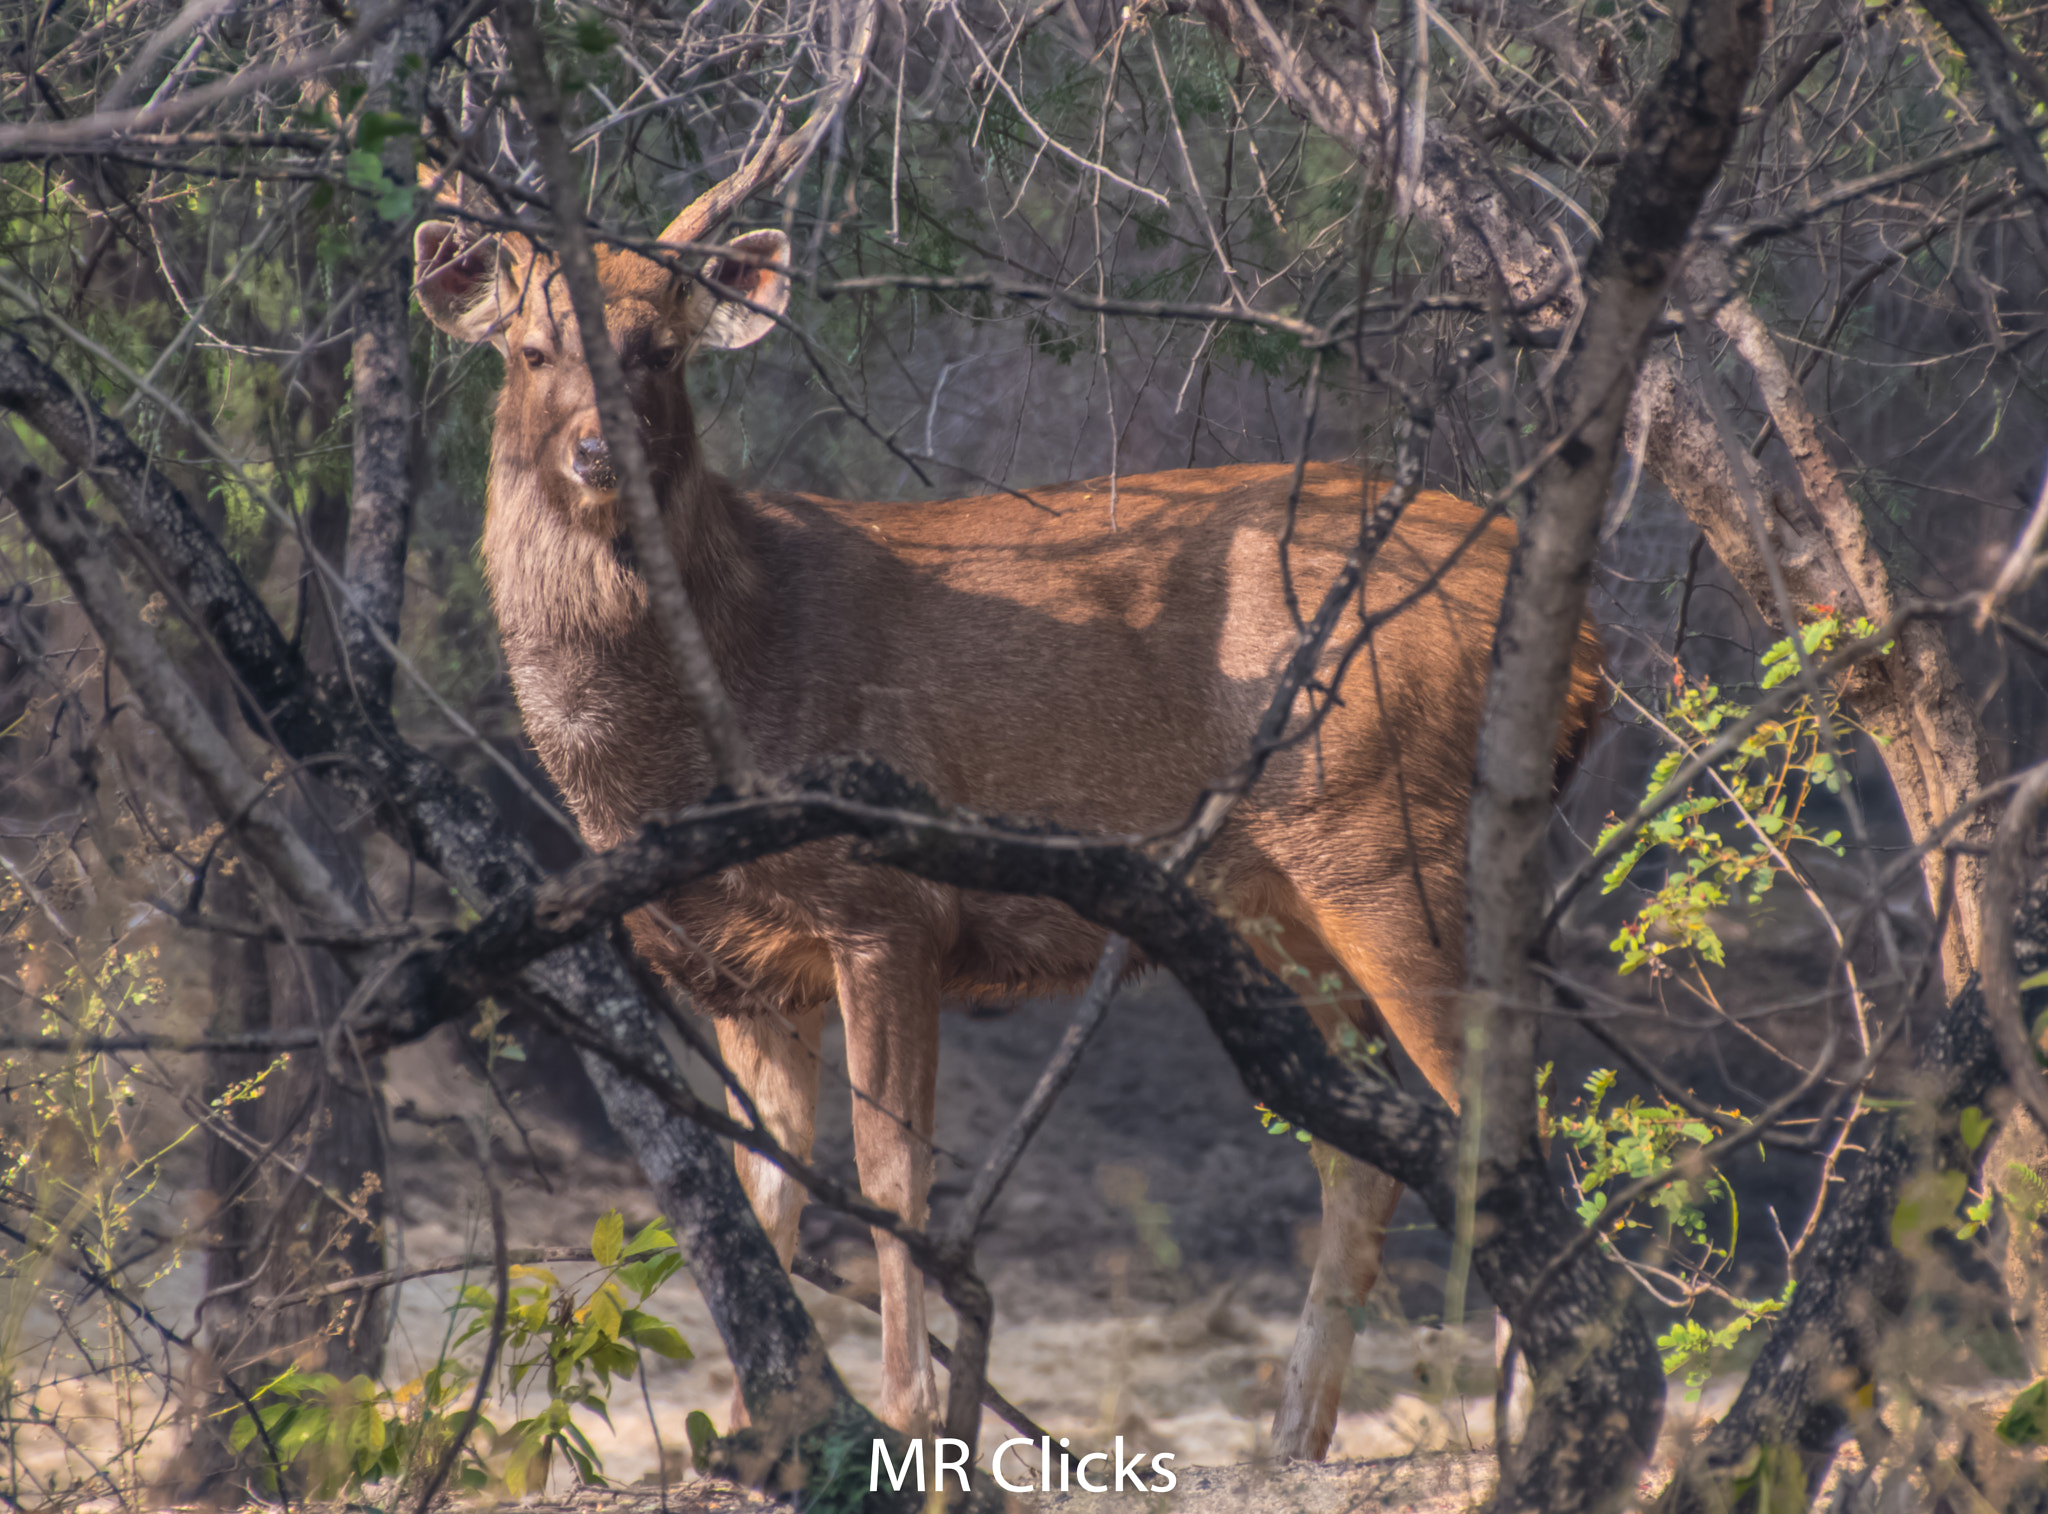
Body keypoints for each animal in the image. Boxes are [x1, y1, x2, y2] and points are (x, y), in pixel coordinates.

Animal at [410, 152, 1600, 1463]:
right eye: (529, 349)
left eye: (658, 349)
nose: (593, 453)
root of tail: (1589, 646)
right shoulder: (738, 970)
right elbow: (760, 1196)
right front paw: (763, 1435)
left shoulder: (888, 904)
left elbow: (890, 1178)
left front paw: (908, 1418)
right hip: (1283, 898)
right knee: (1371, 1145)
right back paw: (1294, 1434)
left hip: (1394, 842)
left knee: (1503, 1124)